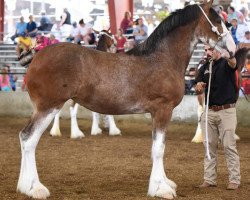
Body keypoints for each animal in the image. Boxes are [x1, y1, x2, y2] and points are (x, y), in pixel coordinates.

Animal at [17, 1, 236, 198]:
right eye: (218, 20)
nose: (233, 48)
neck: (163, 59)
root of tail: (37, 56)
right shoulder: (162, 110)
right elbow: (159, 149)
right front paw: (160, 189)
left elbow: (158, 146)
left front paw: (164, 183)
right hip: (48, 107)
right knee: (29, 139)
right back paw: (35, 188)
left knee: (25, 137)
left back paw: (24, 186)